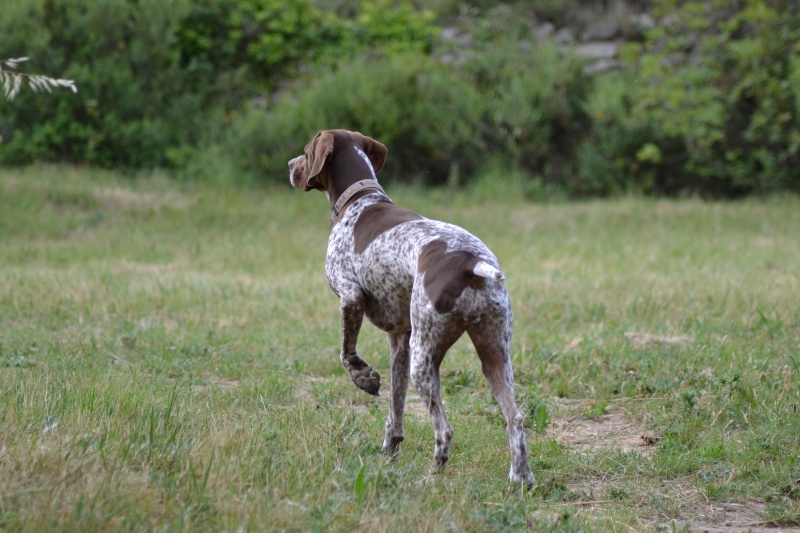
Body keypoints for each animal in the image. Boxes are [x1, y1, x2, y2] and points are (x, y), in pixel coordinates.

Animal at [290, 129, 536, 486]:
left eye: (308, 151)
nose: (290, 165)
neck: (360, 200)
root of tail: (471, 263)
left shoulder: (350, 297)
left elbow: (346, 354)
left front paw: (364, 378)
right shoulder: (400, 341)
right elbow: (395, 410)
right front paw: (388, 454)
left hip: (424, 359)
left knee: (444, 429)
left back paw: (430, 479)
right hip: (492, 355)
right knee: (514, 418)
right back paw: (521, 480)